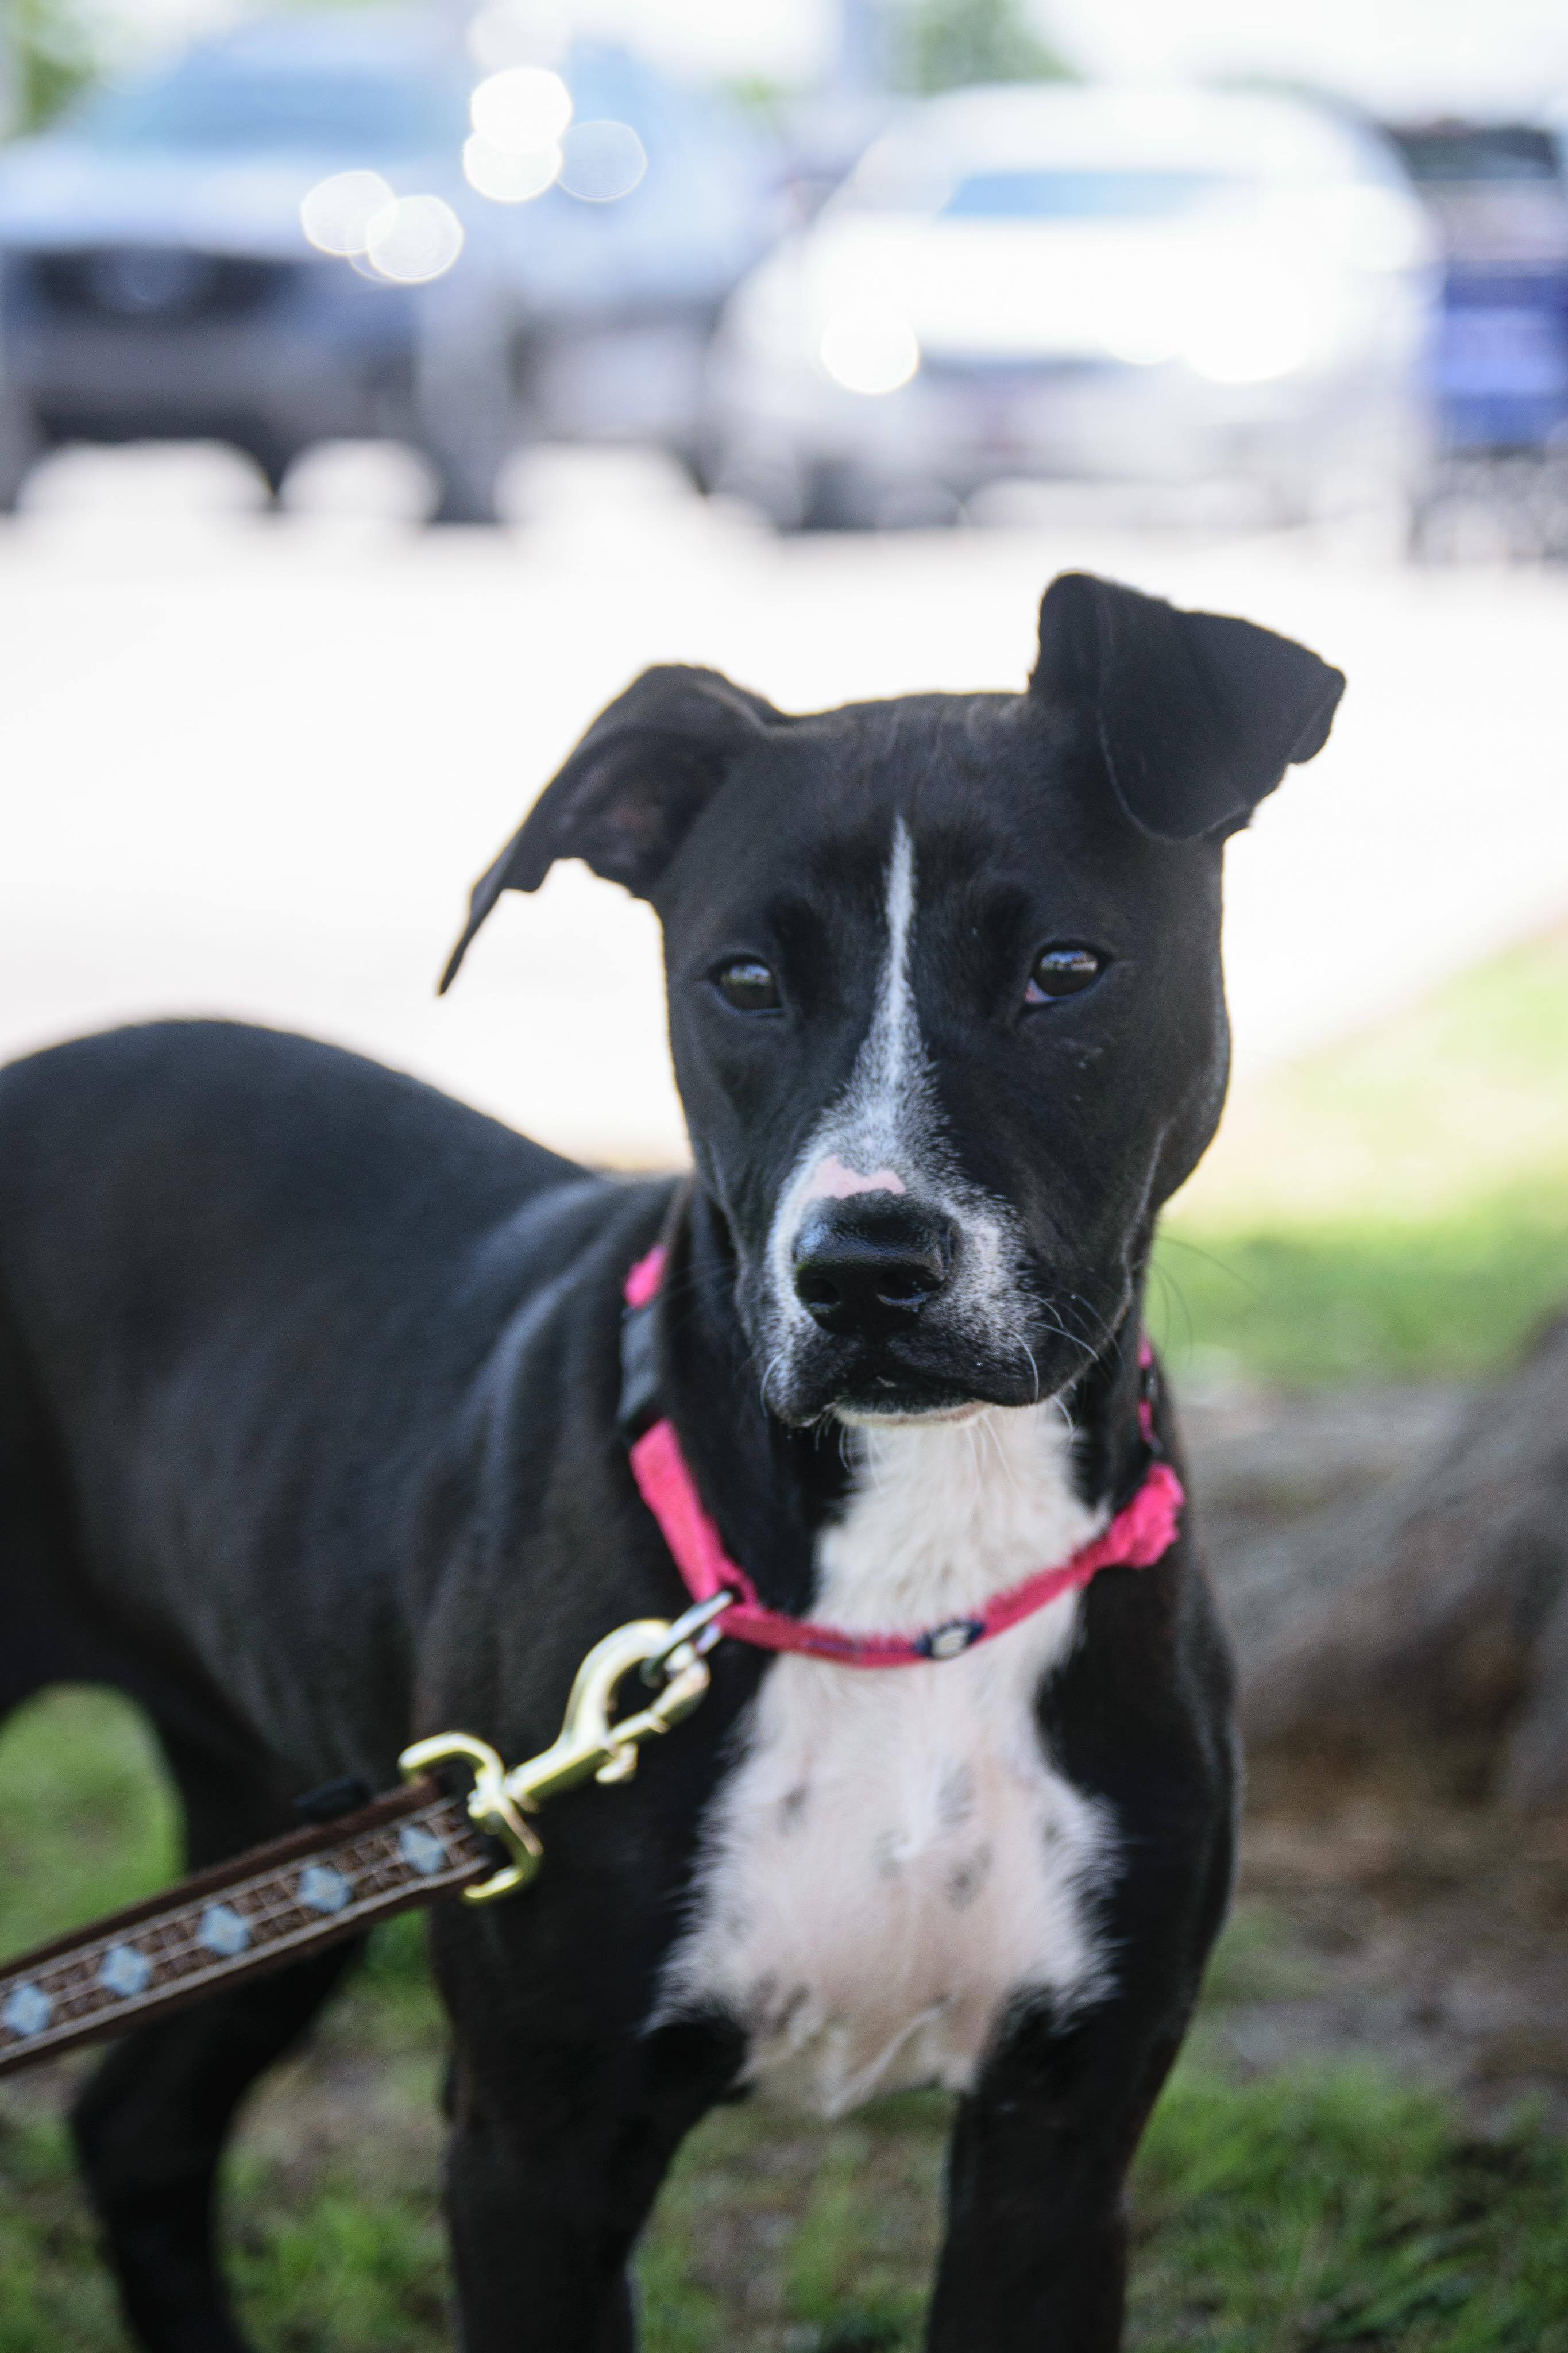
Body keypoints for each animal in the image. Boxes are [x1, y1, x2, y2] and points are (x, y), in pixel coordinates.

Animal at [3, 569, 1335, 2353]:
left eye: (1067, 968)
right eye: (743, 979)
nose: (864, 1268)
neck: (912, 1576)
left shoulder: (1063, 2144)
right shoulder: (536, 2149)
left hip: (277, 1813)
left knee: (136, 2121)